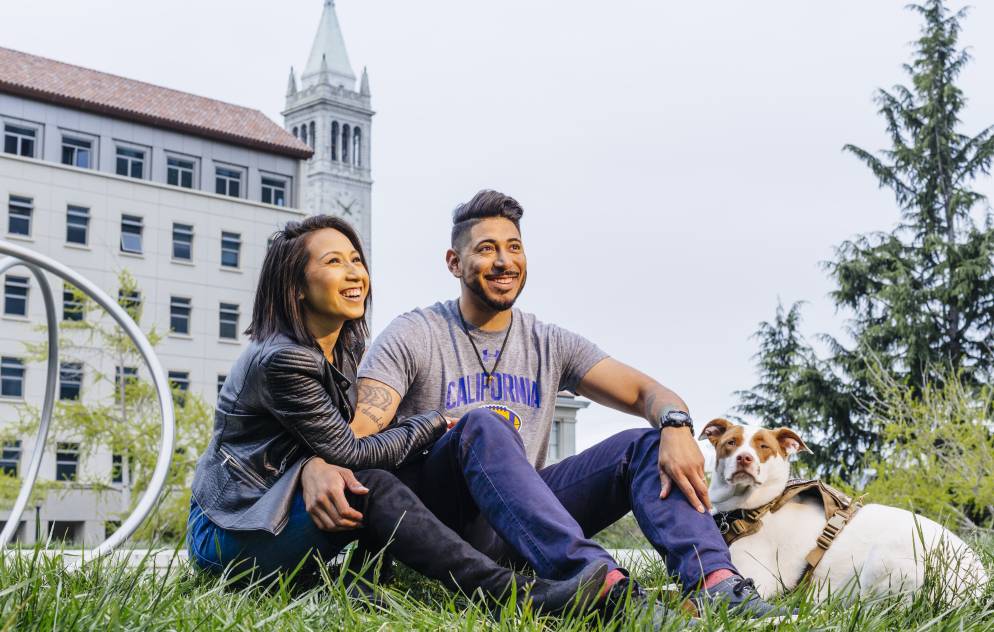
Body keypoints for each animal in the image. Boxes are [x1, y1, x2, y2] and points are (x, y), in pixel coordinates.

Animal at [696, 420, 984, 604]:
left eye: (763, 446)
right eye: (730, 443)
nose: (744, 458)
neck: (757, 508)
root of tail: (977, 584)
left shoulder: (757, 580)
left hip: (886, 558)